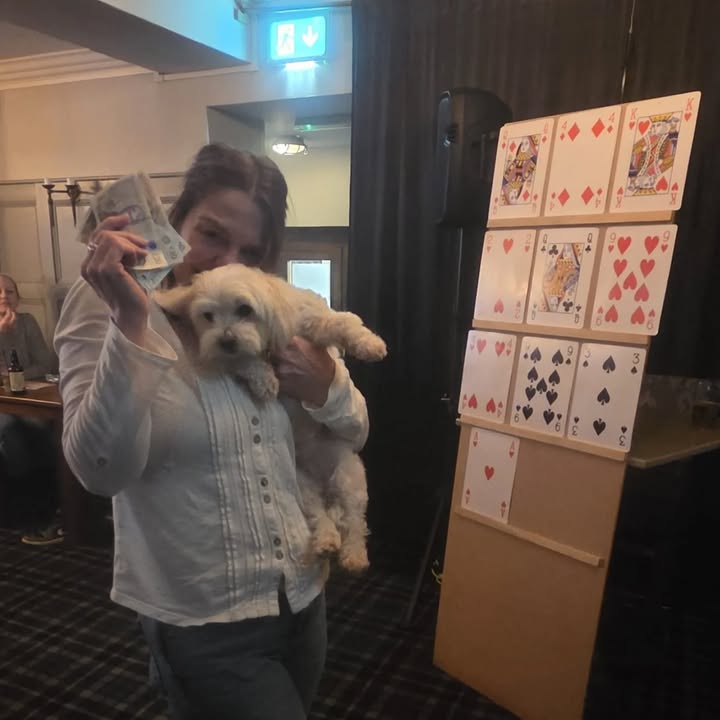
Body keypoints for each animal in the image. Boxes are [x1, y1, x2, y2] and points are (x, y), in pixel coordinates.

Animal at [154, 263, 387, 572]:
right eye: (207, 316)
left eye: (244, 309)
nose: (226, 340)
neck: (268, 341)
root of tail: (326, 489)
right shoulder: (236, 357)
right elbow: (246, 361)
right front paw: (264, 379)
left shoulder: (309, 322)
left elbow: (341, 322)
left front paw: (369, 344)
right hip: (303, 485)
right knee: (321, 516)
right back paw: (326, 541)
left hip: (349, 478)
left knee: (355, 522)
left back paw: (354, 554)